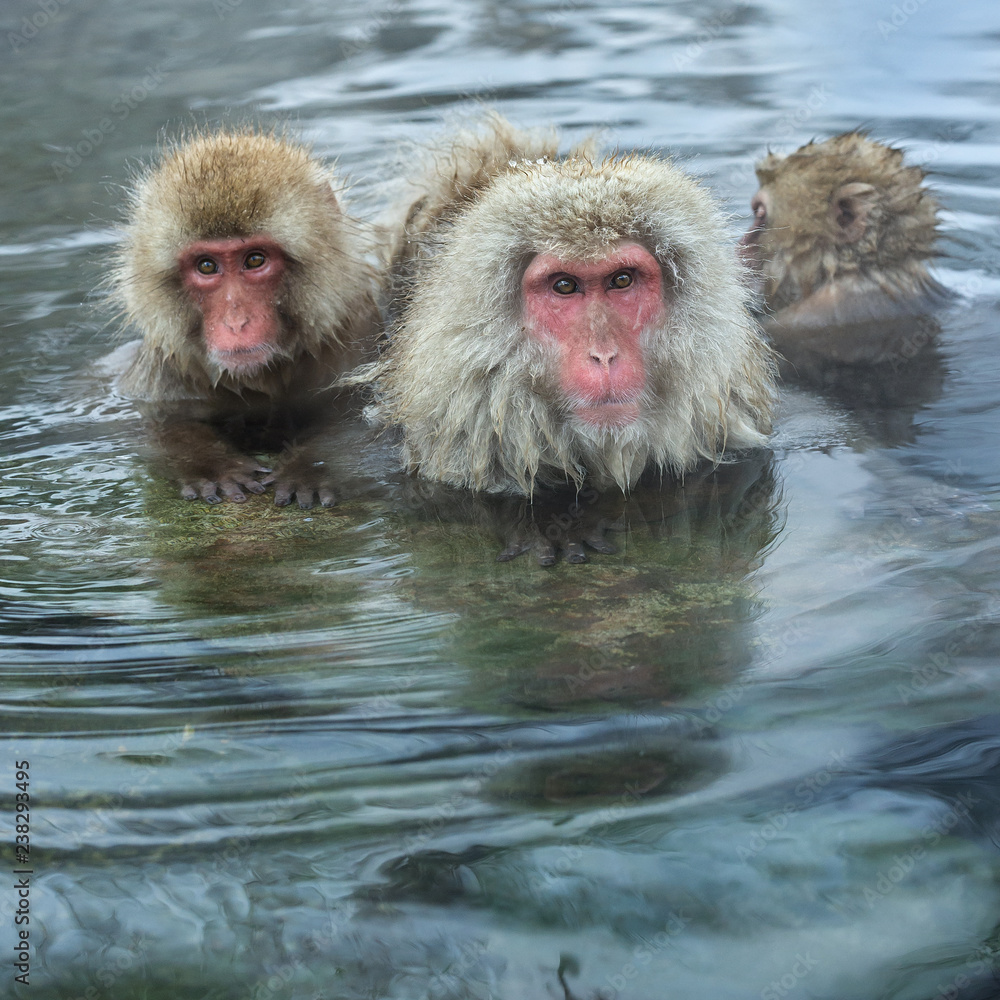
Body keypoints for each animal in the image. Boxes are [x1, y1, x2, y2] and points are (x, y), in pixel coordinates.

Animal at [107, 128, 379, 507]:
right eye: (207, 266)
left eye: (254, 260)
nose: (235, 323)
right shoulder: (167, 367)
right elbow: (157, 425)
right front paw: (211, 466)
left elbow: (359, 418)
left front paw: (310, 468)